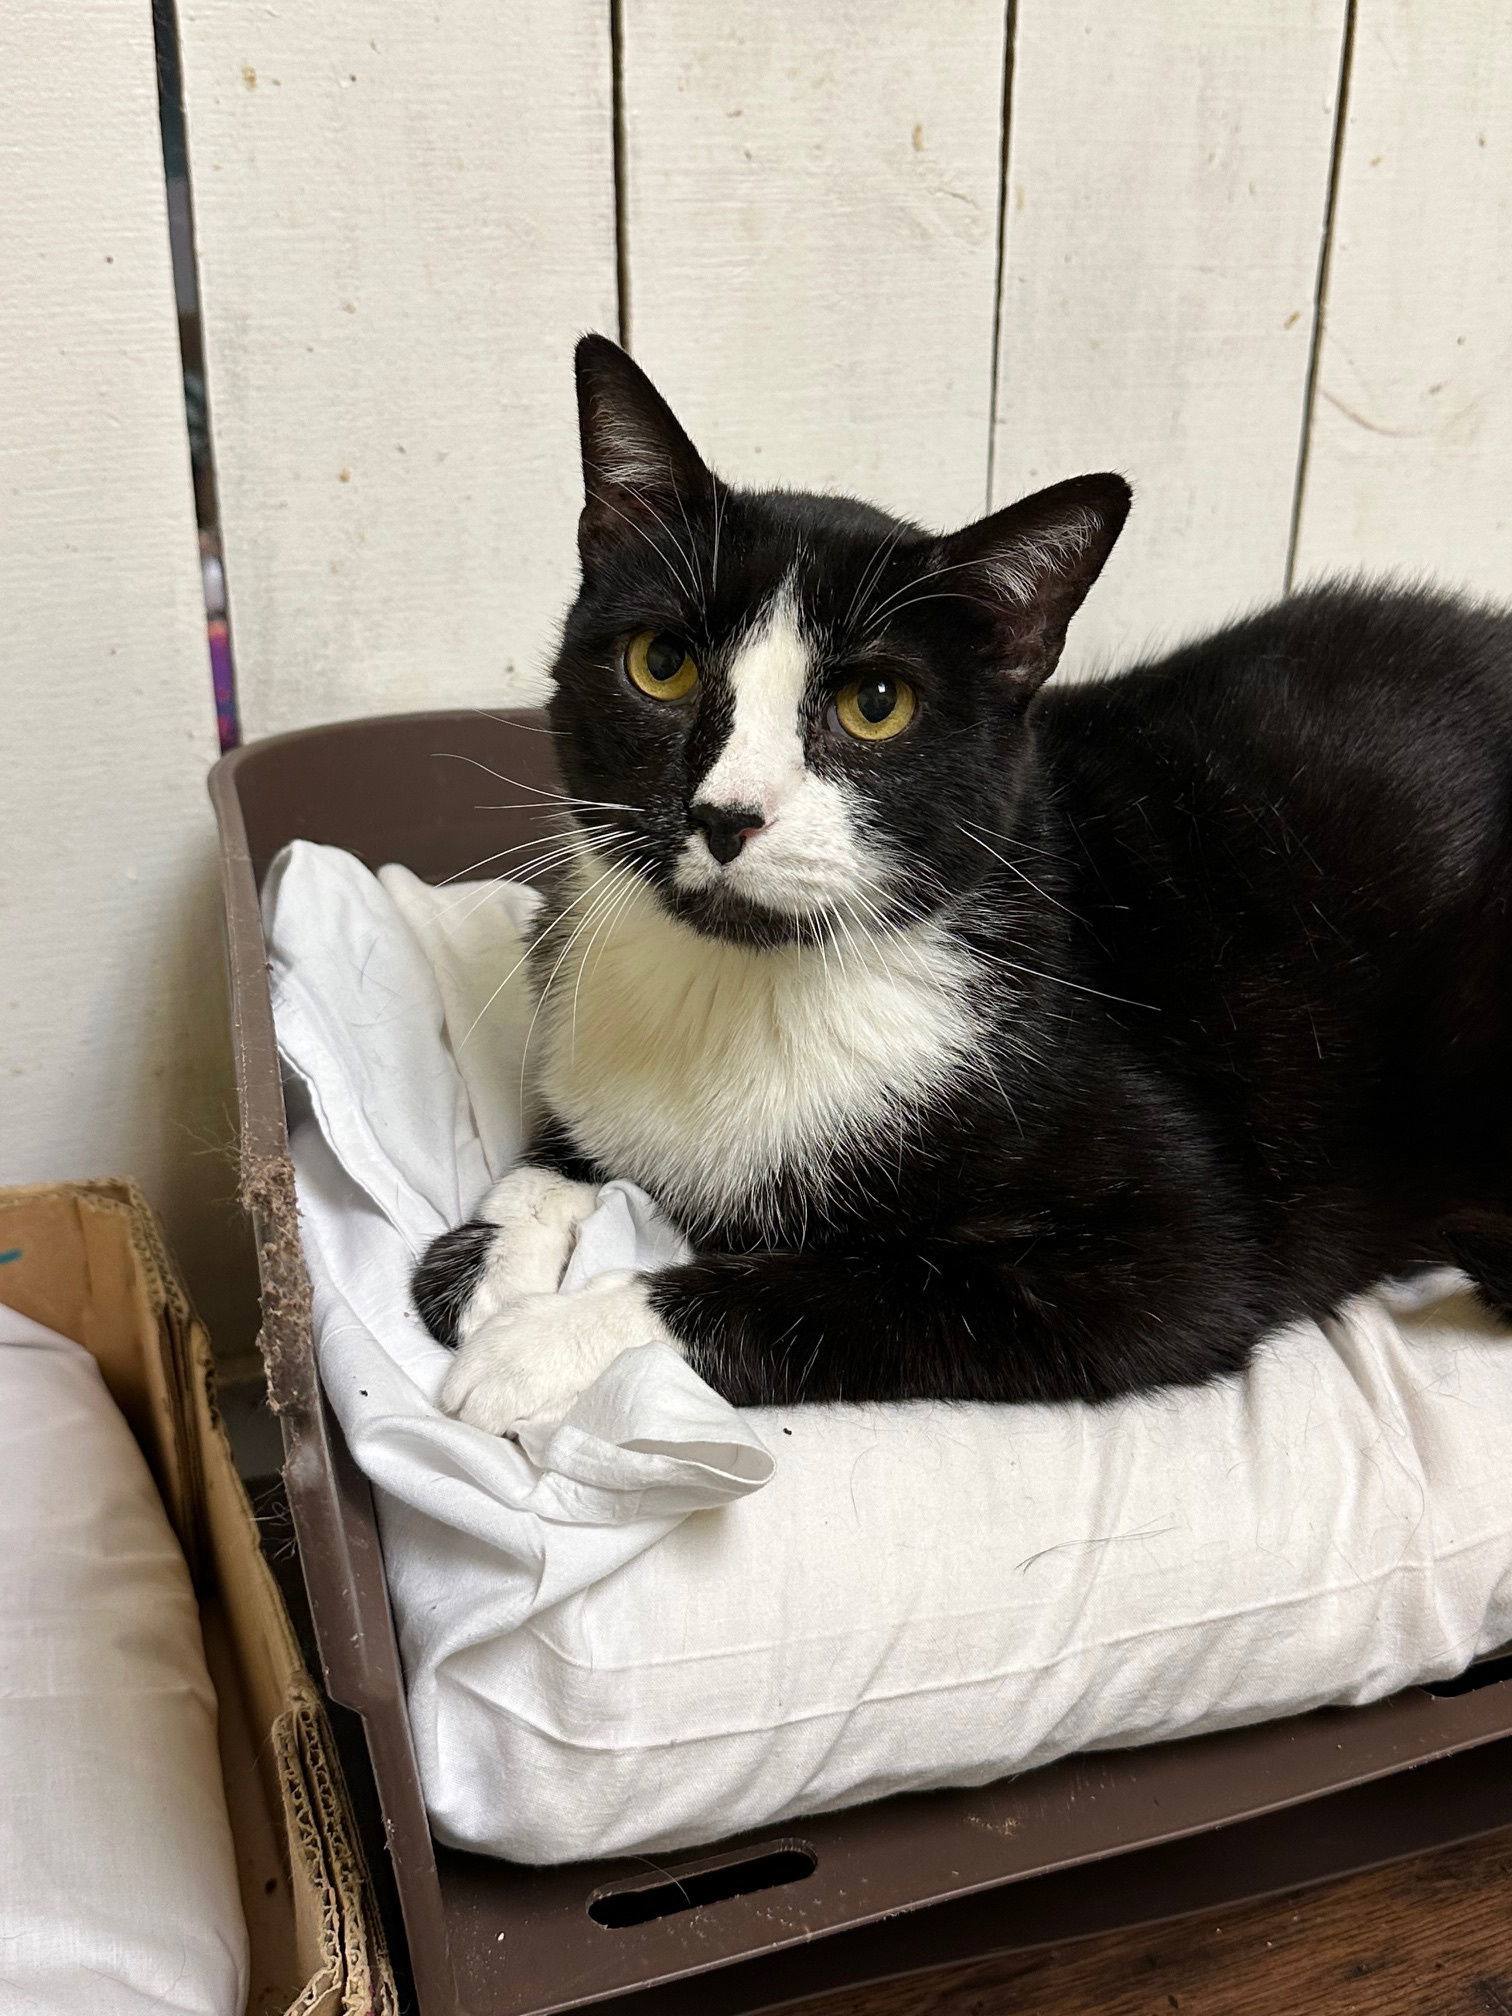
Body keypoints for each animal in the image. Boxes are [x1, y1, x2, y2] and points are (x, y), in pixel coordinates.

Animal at [411, 334, 1512, 1435]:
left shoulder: (1171, 1254)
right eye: (662, 663)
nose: (727, 815)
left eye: (877, 703)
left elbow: (848, 1287)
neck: (748, 982)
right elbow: (561, 1149)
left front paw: (546, 1345)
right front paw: (492, 1261)